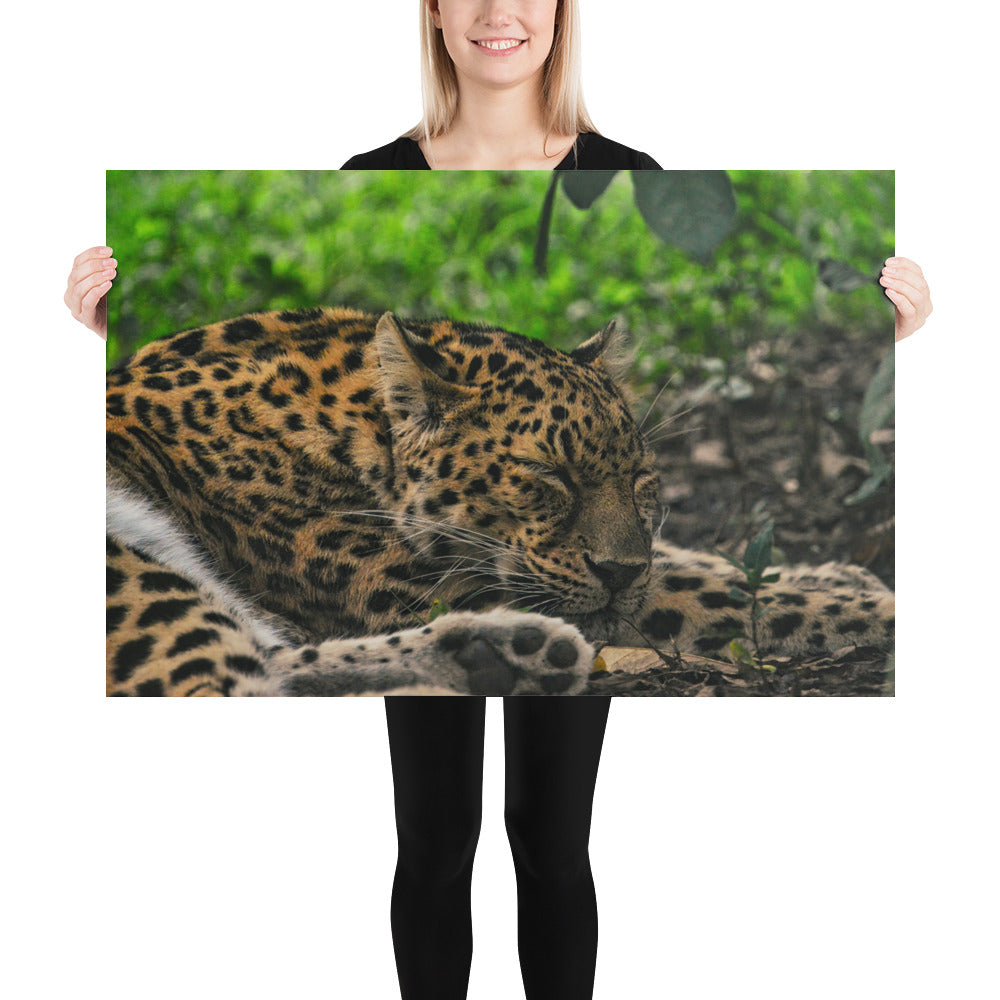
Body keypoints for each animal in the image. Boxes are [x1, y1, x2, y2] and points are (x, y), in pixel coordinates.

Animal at [106, 307, 893, 696]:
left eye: (640, 478)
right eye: (549, 477)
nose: (619, 574)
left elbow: (684, 560)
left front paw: (839, 575)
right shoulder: (430, 587)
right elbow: (706, 594)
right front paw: (870, 609)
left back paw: (503, 653)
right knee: (223, 687)